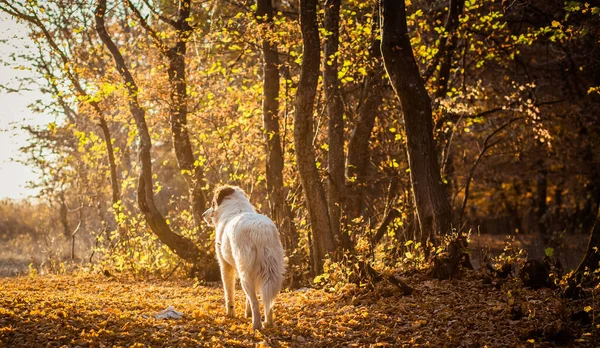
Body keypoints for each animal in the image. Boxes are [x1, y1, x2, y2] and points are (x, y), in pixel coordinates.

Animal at [203, 185, 284, 328]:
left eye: (212, 203)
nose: (203, 215)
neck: (236, 207)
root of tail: (259, 231)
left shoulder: (225, 266)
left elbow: (229, 293)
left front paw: (230, 314)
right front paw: (247, 313)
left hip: (245, 274)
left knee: (255, 301)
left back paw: (256, 326)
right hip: (272, 272)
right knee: (267, 301)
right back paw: (268, 323)